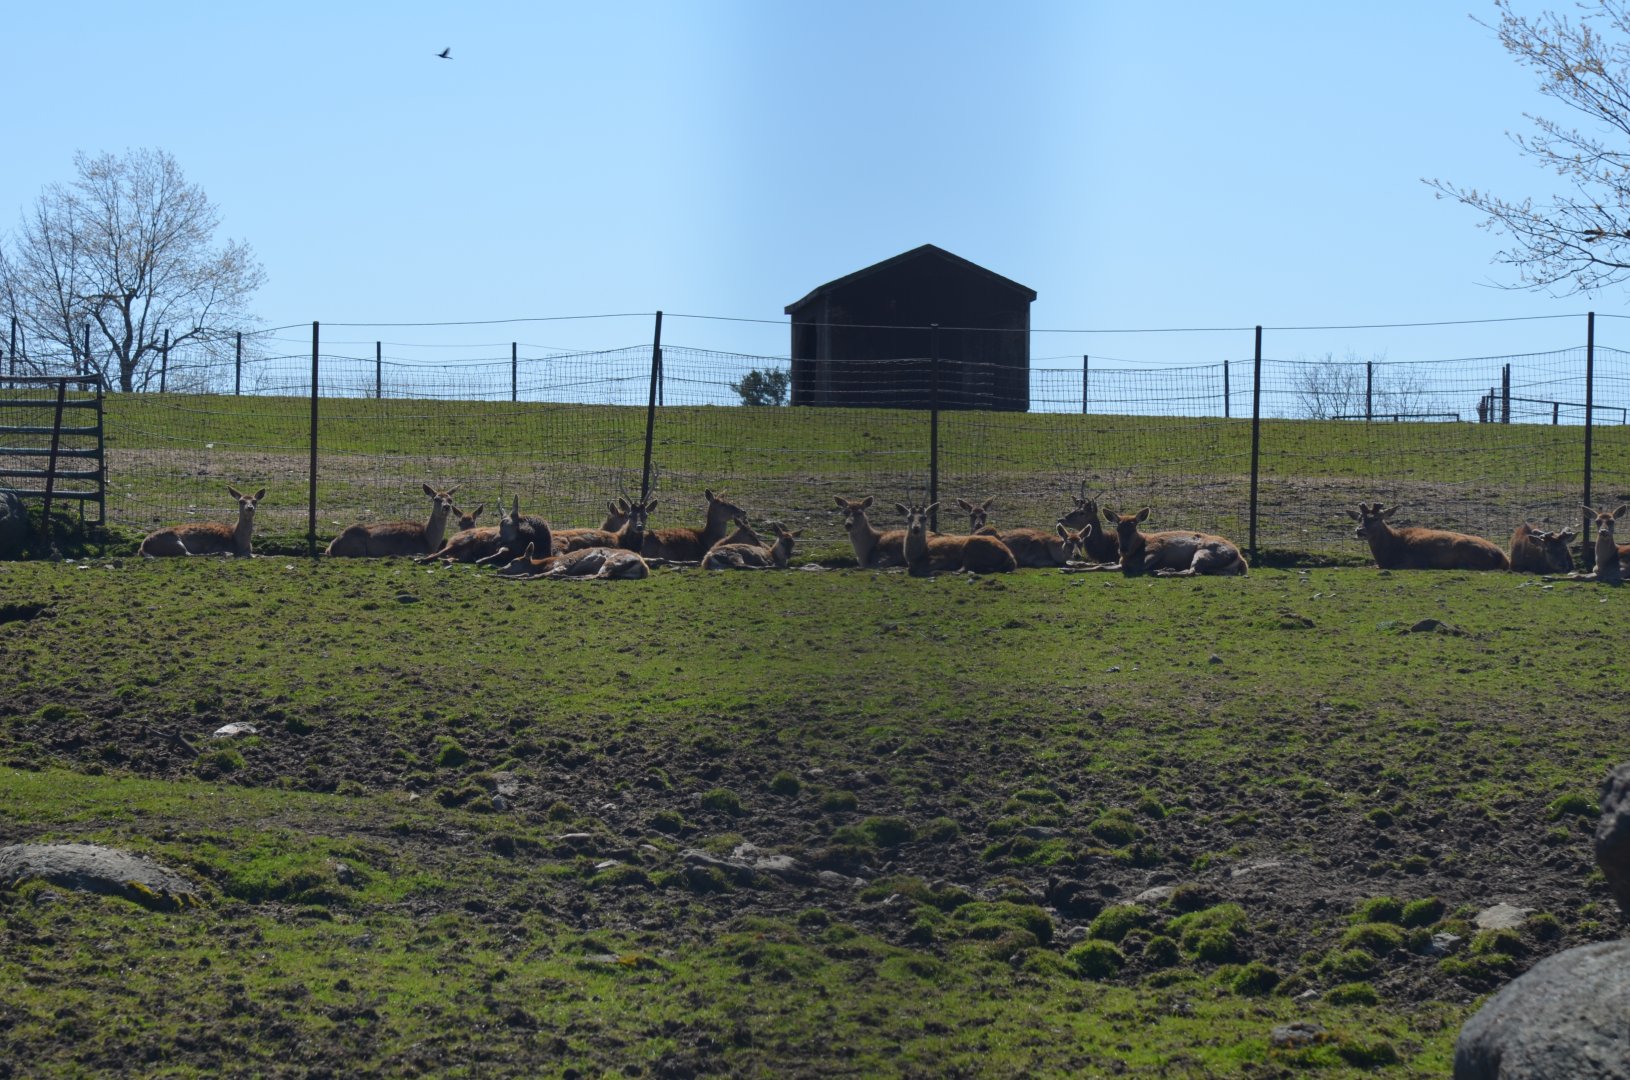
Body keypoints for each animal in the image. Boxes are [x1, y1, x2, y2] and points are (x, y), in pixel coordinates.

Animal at [325, 484, 457, 558]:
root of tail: (330, 547)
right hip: (358, 549)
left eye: (450, 499)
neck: (427, 540)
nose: (446, 507)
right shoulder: (411, 550)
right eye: (436, 499)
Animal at [1087, 507, 1249, 576]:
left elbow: (1139, 567)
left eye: (1133, 529)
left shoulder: (1157, 549)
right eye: (1118, 529)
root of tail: (1241, 559)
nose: (1123, 549)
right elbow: (1100, 566)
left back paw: (1163, 571)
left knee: (1193, 572)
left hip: (1204, 553)